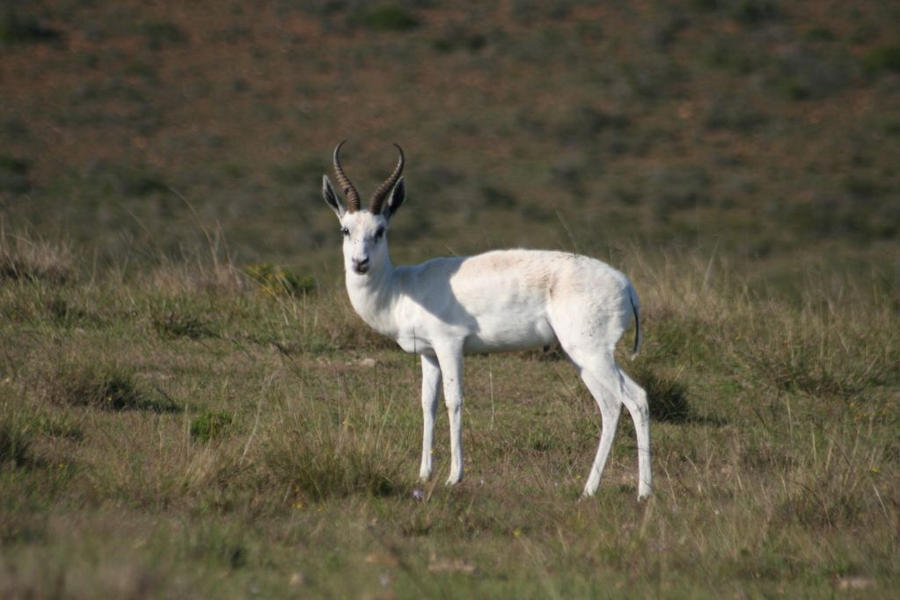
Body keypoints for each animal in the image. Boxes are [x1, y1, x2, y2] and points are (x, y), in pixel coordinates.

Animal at [320, 141, 652, 496]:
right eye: (345, 229)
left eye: (380, 230)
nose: (360, 263)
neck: (401, 288)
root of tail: (627, 286)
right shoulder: (428, 354)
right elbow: (427, 404)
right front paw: (424, 473)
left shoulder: (449, 345)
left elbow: (454, 401)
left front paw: (455, 475)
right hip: (583, 357)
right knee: (613, 405)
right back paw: (590, 489)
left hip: (591, 353)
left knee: (634, 399)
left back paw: (643, 492)